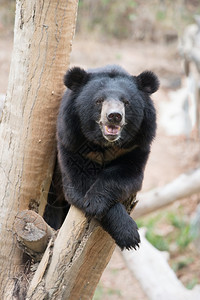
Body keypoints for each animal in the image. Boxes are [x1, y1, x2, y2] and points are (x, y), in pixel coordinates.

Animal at [52, 64, 159, 250]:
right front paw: (129, 235)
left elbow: (127, 175)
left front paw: (96, 202)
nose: (114, 116)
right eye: (99, 101)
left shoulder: (137, 145)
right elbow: (78, 184)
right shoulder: (71, 142)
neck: (105, 144)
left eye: (126, 102)